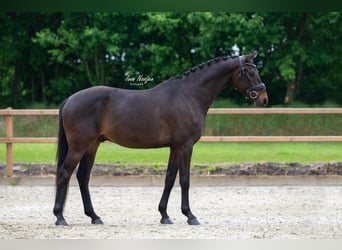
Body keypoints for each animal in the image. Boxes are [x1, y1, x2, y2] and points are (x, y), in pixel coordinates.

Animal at [52, 51, 268, 227]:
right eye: (250, 72)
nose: (263, 99)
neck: (188, 95)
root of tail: (70, 99)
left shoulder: (175, 147)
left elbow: (169, 179)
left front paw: (165, 215)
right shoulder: (185, 146)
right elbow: (185, 180)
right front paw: (190, 216)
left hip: (92, 145)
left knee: (83, 177)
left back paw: (94, 216)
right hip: (79, 146)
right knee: (64, 173)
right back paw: (60, 217)